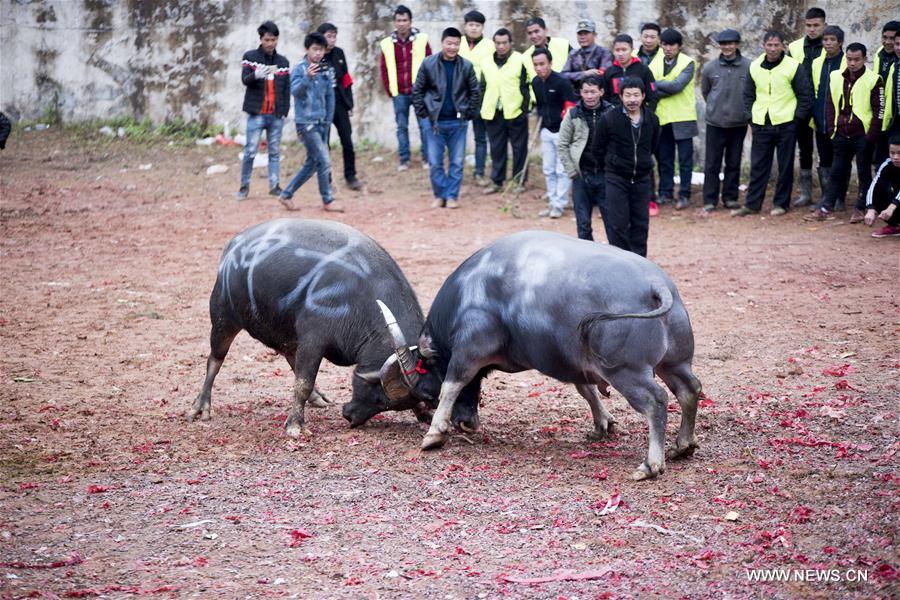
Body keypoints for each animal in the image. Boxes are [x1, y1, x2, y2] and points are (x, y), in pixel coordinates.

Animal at [189, 219, 440, 436]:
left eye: (389, 405)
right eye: (379, 398)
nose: (351, 416)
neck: (360, 297)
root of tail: (233, 245)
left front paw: (423, 413)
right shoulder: (313, 338)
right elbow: (303, 382)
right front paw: (295, 425)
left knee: (290, 356)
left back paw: (317, 398)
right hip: (223, 318)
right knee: (215, 360)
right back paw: (201, 406)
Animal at [376, 232, 700, 480]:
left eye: (427, 393)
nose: (465, 423)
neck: (472, 289)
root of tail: (657, 285)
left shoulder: (469, 350)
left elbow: (452, 385)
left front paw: (434, 433)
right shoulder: (573, 362)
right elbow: (587, 390)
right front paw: (602, 425)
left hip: (626, 371)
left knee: (656, 401)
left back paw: (651, 464)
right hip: (674, 362)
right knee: (689, 390)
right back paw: (682, 445)